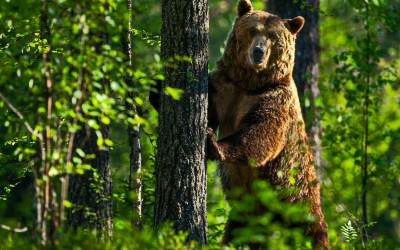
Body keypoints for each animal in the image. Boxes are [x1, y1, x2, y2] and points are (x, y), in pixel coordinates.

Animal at [206, 0, 328, 248]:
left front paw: (215, 144)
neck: (251, 83)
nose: (258, 51)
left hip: (296, 205)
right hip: (245, 218)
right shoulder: (226, 86)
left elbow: (261, 135)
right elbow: (210, 107)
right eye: (253, 30)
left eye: (273, 36)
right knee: (234, 234)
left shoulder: (275, 99)